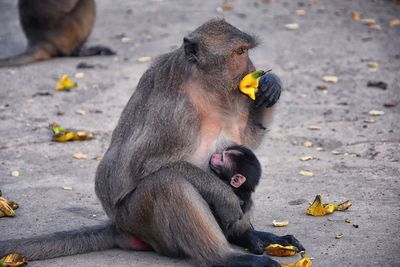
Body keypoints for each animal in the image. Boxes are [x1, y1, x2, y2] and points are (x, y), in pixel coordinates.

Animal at [0, 19, 304, 266]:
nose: (253, 68)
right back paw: (224, 256)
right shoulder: (174, 113)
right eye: (240, 52)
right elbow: (149, 168)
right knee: (167, 184)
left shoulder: (236, 100)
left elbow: (246, 141)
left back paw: (248, 236)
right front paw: (225, 198)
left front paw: (271, 85)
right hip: (139, 219)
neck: (204, 86)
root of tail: (120, 227)